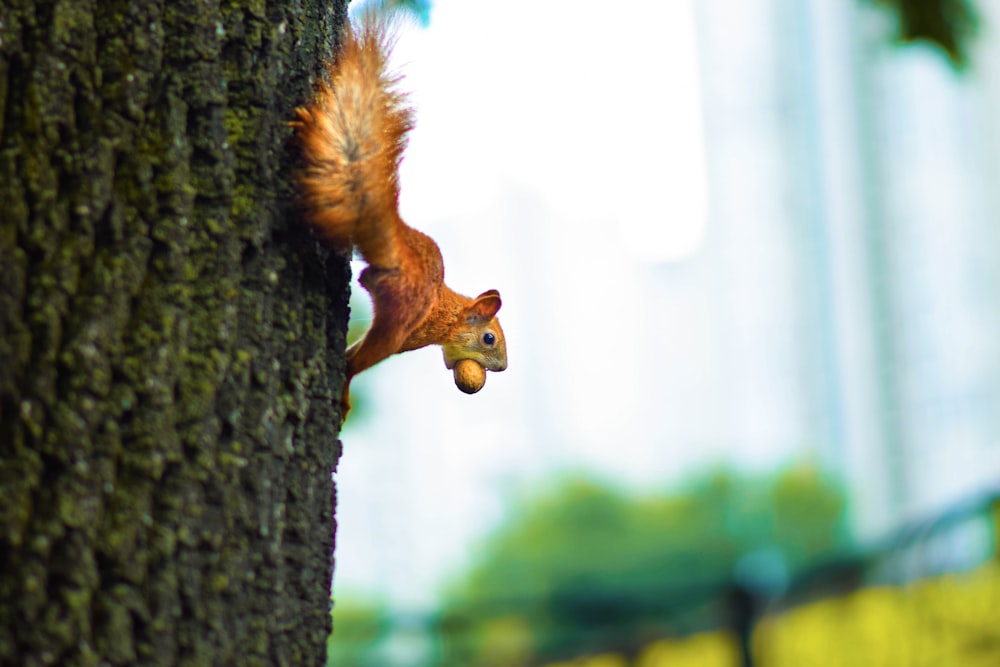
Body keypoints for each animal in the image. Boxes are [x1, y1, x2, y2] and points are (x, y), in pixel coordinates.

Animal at [290, 17, 508, 422]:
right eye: (489, 339)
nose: (501, 368)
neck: (449, 311)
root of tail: (397, 246)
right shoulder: (417, 332)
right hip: (400, 316)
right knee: (360, 359)